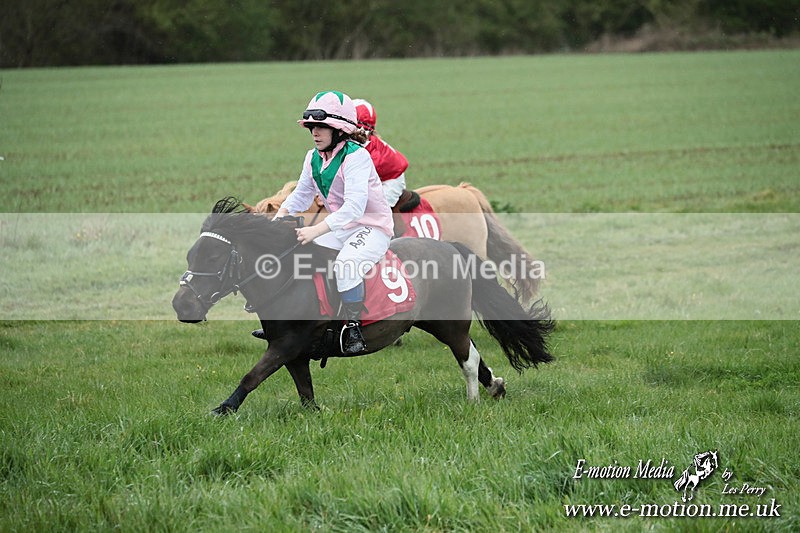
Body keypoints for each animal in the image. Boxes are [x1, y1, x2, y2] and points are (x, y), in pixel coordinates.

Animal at [171, 197, 554, 414]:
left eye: (214, 257)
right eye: (191, 256)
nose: (181, 305)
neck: (287, 279)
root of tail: (451, 248)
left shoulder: (287, 344)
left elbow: (251, 376)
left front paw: (223, 409)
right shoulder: (293, 352)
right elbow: (305, 392)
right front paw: (314, 416)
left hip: (450, 323)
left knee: (468, 359)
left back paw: (473, 401)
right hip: (436, 322)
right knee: (474, 354)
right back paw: (495, 386)